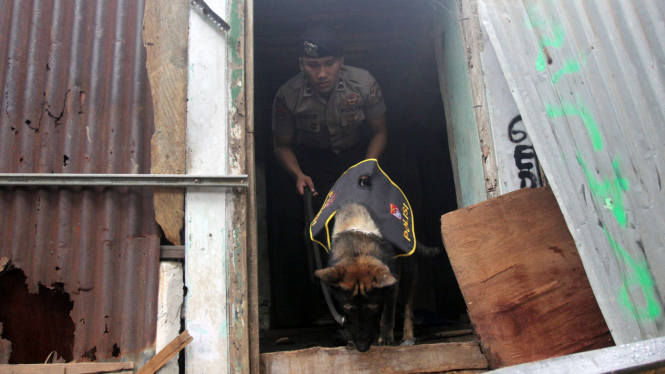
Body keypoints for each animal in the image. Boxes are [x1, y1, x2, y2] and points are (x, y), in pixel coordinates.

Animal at [314, 202, 438, 350]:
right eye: (349, 310)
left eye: (372, 309)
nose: (362, 348)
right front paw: (350, 340)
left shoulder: (392, 277)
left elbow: (388, 312)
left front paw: (385, 338)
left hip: (409, 273)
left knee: (408, 307)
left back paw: (408, 336)